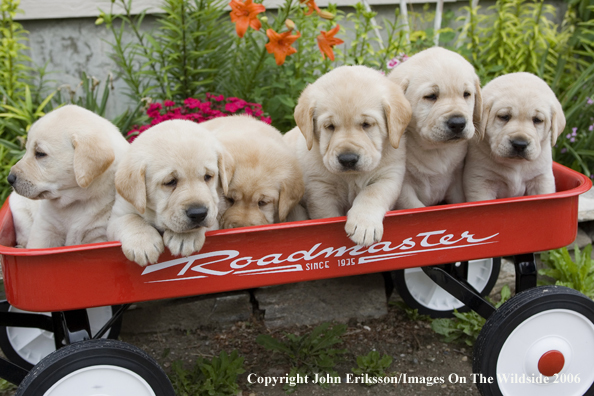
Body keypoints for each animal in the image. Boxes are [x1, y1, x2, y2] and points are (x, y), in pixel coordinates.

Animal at [106, 119, 229, 264]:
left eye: (207, 177)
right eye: (170, 182)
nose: (198, 213)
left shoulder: (213, 218)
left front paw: (185, 237)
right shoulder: (117, 215)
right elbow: (130, 218)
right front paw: (143, 243)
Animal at [284, 66, 410, 246]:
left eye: (366, 124)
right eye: (329, 126)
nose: (348, 159)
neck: (351, 177)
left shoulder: (389, 176)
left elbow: (372, 193)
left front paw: (364, 225)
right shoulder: (320, 189)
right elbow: (327, 215)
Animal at [388, 46, 480, 209]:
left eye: (466, 94)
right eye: (431, 96)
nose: (458, 123)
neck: (436, 149)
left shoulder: (457, 182)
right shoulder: (404, 190)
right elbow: (416, 207)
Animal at [460, 72, 560, 200]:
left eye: (537, 120)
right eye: (504, 117)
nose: (519, 144)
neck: (515, 164)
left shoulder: (541, 179)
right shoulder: (481, 180)